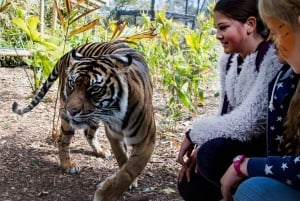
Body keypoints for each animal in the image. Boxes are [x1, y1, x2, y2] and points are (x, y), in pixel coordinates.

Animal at [11, 40, 157, 200]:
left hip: (92, 119)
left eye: (94, 89)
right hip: (67, 117)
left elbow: (131, 168)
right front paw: (107, 194)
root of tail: (68, 53)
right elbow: (122, 158)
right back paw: (68, 165)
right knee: (63, 140)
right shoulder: (113, 134)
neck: (117, 114)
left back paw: (99, 151)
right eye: (72, 84)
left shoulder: (147, 139)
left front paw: (111, 191)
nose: (70, 111)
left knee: (88, 133)